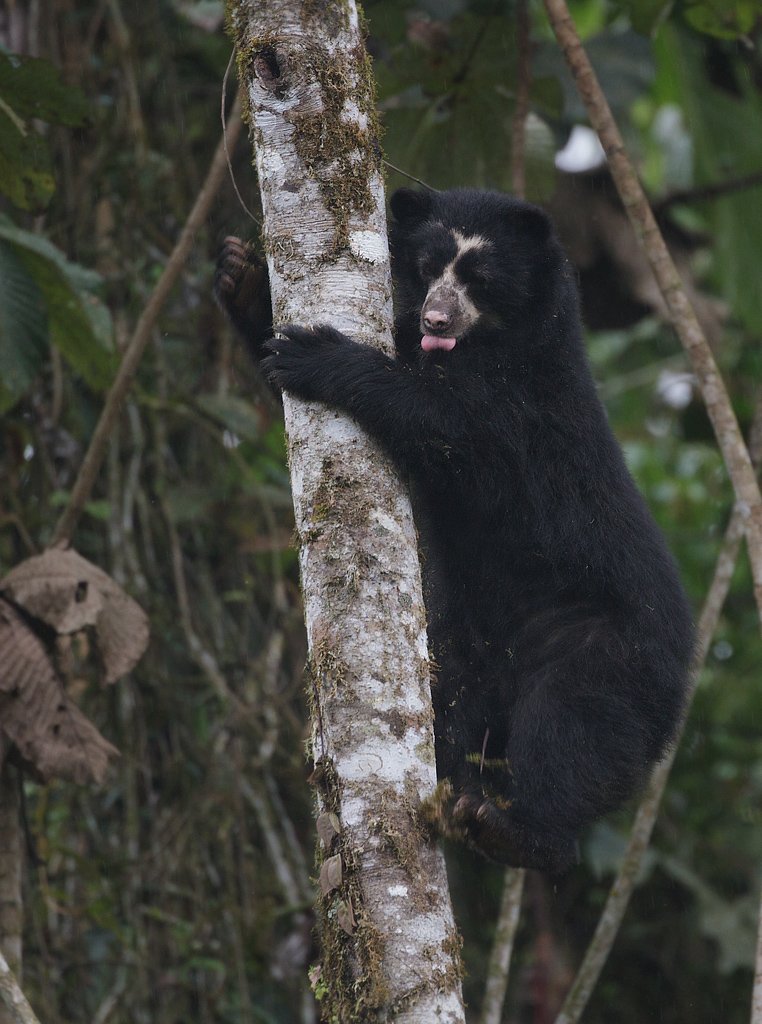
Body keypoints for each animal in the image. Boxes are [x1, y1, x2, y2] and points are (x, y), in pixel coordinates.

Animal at [215, 187, 694, 872]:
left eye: (480, 278)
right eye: (427, 265)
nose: (436, 319)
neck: (489, 346)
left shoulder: (525, 409)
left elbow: (451, 433)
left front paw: (320, 355)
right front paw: (242, 274)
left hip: (610, 648)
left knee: (571, 726)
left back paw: (514, 831)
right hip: (462, 647)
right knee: (453, 709)